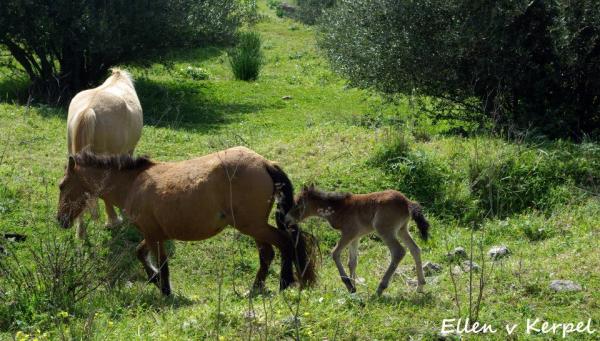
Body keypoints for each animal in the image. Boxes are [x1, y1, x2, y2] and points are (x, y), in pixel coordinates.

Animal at [56, 146, 318, 294]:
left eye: (62, 185)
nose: (60, 220)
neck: (133, 184)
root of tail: (264, 163)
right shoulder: (153, 234)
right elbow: (140, 254)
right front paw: (154, 280)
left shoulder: (153, 235)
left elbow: (162, 264)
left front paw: (165, 290)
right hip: (254, 227)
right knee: (268, 254)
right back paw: (254, 289)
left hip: (252, 226)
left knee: (284, 243)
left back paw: (284, 283)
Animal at [284, 185, 428, 294]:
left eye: (297, 203)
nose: (286, 220)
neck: (339, 208)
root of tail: (407, 202)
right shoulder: (355, 237)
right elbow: (352, 262)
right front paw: (354, 287)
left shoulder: (348, 233)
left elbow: (335, 253)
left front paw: (349, 284)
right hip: (402, 229)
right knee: (415, 249)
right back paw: (420, 286)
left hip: (385, 230)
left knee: (398, 252)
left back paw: (381, 288)